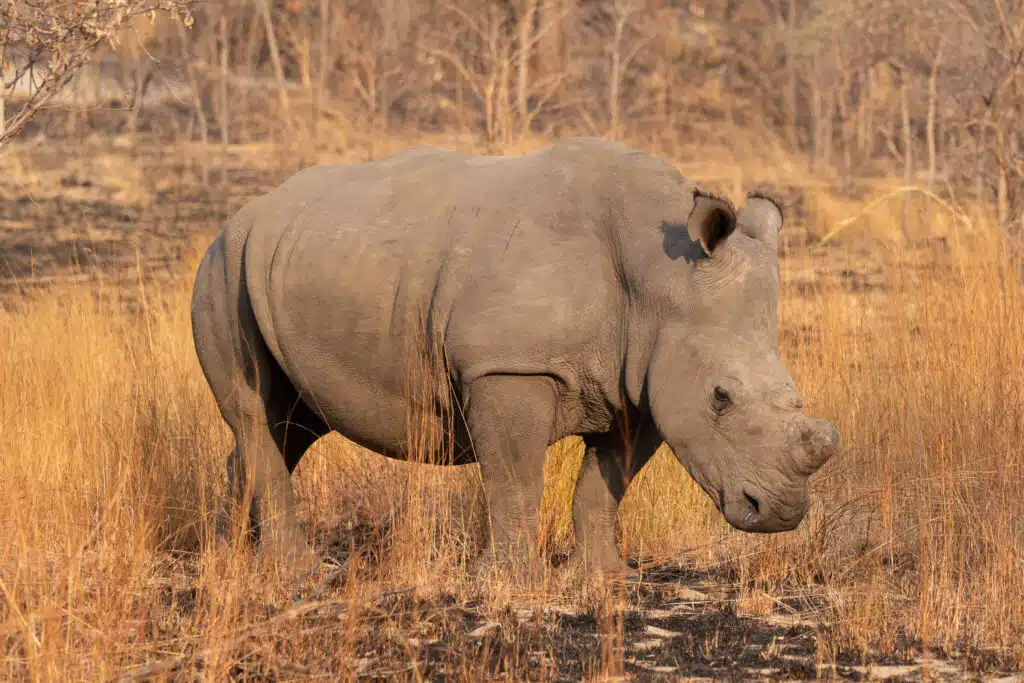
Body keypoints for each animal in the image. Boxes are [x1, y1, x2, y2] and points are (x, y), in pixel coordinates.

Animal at [190, 137, 840, 580]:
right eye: (721, 397)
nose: (780, 512)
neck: (658, 280)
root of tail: (241, 216)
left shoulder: (642, 383)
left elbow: (604, 486)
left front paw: (602, 578)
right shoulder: (510, 364)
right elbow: (516, 478)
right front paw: (509, 582)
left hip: (284, 264)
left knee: (291, 423)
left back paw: (230, 556)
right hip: (222, 267)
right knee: (255, 411)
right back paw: (292, 570)